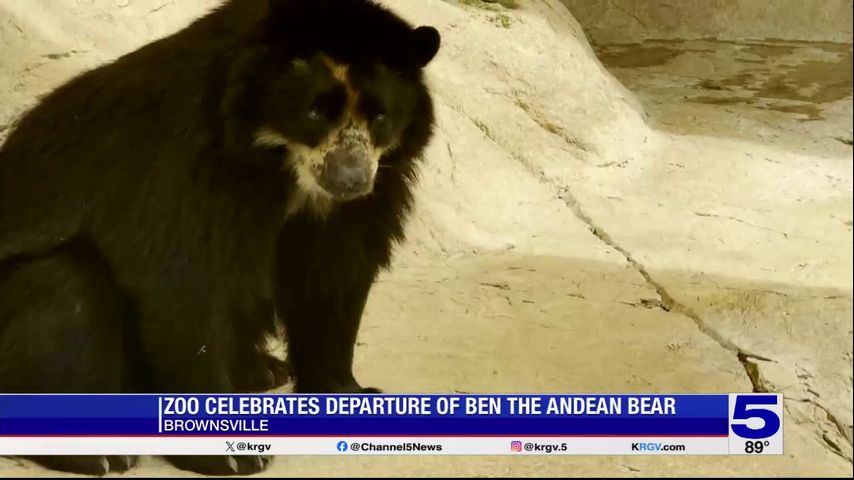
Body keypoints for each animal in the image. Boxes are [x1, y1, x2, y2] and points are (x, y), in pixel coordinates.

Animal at [0, 0, 442, 476]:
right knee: (66, 286)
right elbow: (184, 285)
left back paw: (264, 371)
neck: (283, 168)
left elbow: (336, 279)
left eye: (379, 115)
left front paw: (347, 396)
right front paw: (231, 455)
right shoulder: (188, 171)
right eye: (314, 112)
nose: (350, 179)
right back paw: (99, 452)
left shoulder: (363, 200)